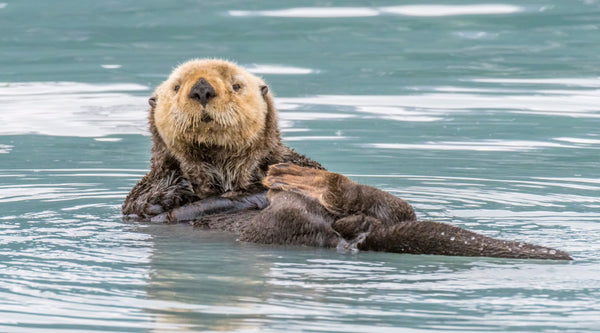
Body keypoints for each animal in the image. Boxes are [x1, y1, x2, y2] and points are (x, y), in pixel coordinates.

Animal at [123, 59, 572, 260]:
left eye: (235, 85)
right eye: (177, 87)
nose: (201, 88)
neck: (228, 175)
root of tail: (355, 233)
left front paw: (263, 185)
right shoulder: (143, 195)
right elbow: (157, 206)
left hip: (374, 209)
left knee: (396, 207)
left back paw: (307, 184)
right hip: (275, 231)